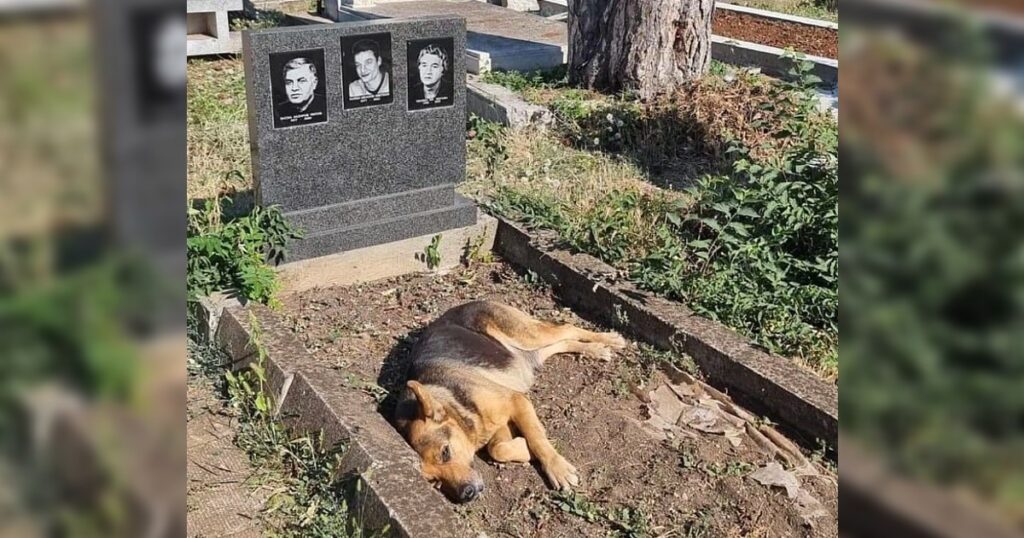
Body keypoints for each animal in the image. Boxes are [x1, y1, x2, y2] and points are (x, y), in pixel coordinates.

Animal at [395, 299, 626, 502]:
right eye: (435, 481)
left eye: (445, 453)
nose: (466, 494)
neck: (455, 404)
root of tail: (465, 303)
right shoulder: (497, 423)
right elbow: (498, 449)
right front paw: (525, 449)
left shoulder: (516, 401)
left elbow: (535, 439)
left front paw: (555, 467)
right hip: (531, 353)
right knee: (562, 342)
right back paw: (595, 349)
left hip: (529, 336)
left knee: (567, 328)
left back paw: (608, 340)